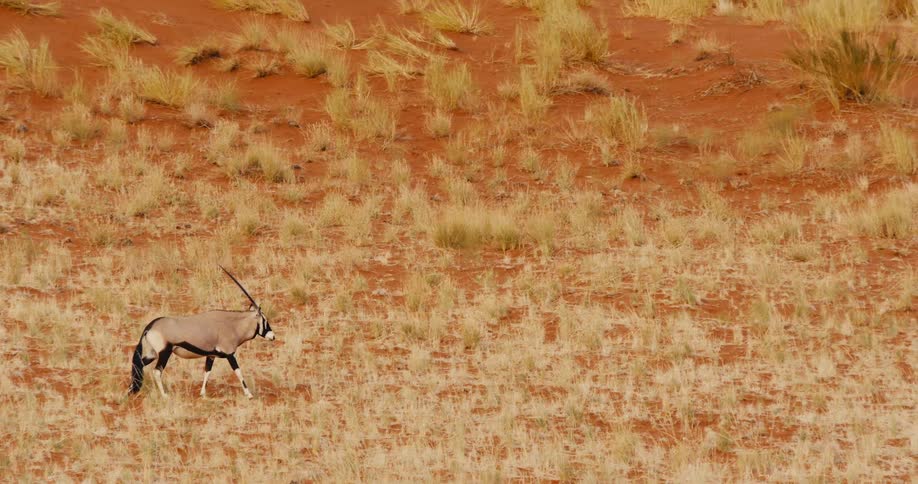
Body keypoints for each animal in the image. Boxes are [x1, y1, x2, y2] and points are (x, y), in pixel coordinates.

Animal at [128, 266, 275, 399]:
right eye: (265, 320)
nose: (273, 336)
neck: (232, 325)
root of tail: (150, 326)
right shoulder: (229, 354)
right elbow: (238, 372)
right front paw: (249, 394)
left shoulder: (211, 355)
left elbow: (207, 372)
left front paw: (203, 393)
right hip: (164, 352)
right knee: (157, 371)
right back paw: (164, 395)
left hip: (152, 354)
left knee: (138, 365)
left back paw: (130, 389)